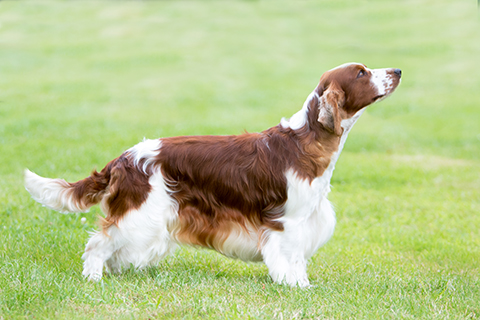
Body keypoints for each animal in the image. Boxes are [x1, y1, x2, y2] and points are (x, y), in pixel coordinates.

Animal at [23, 61, 402, 286]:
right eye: (361, 73)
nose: (397, 70)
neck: (305, 140)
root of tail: (123, 159)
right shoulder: (289, 221)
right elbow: (290, 257)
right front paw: (297, 286)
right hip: (141, 213)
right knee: (99, 243)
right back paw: (94, 278)